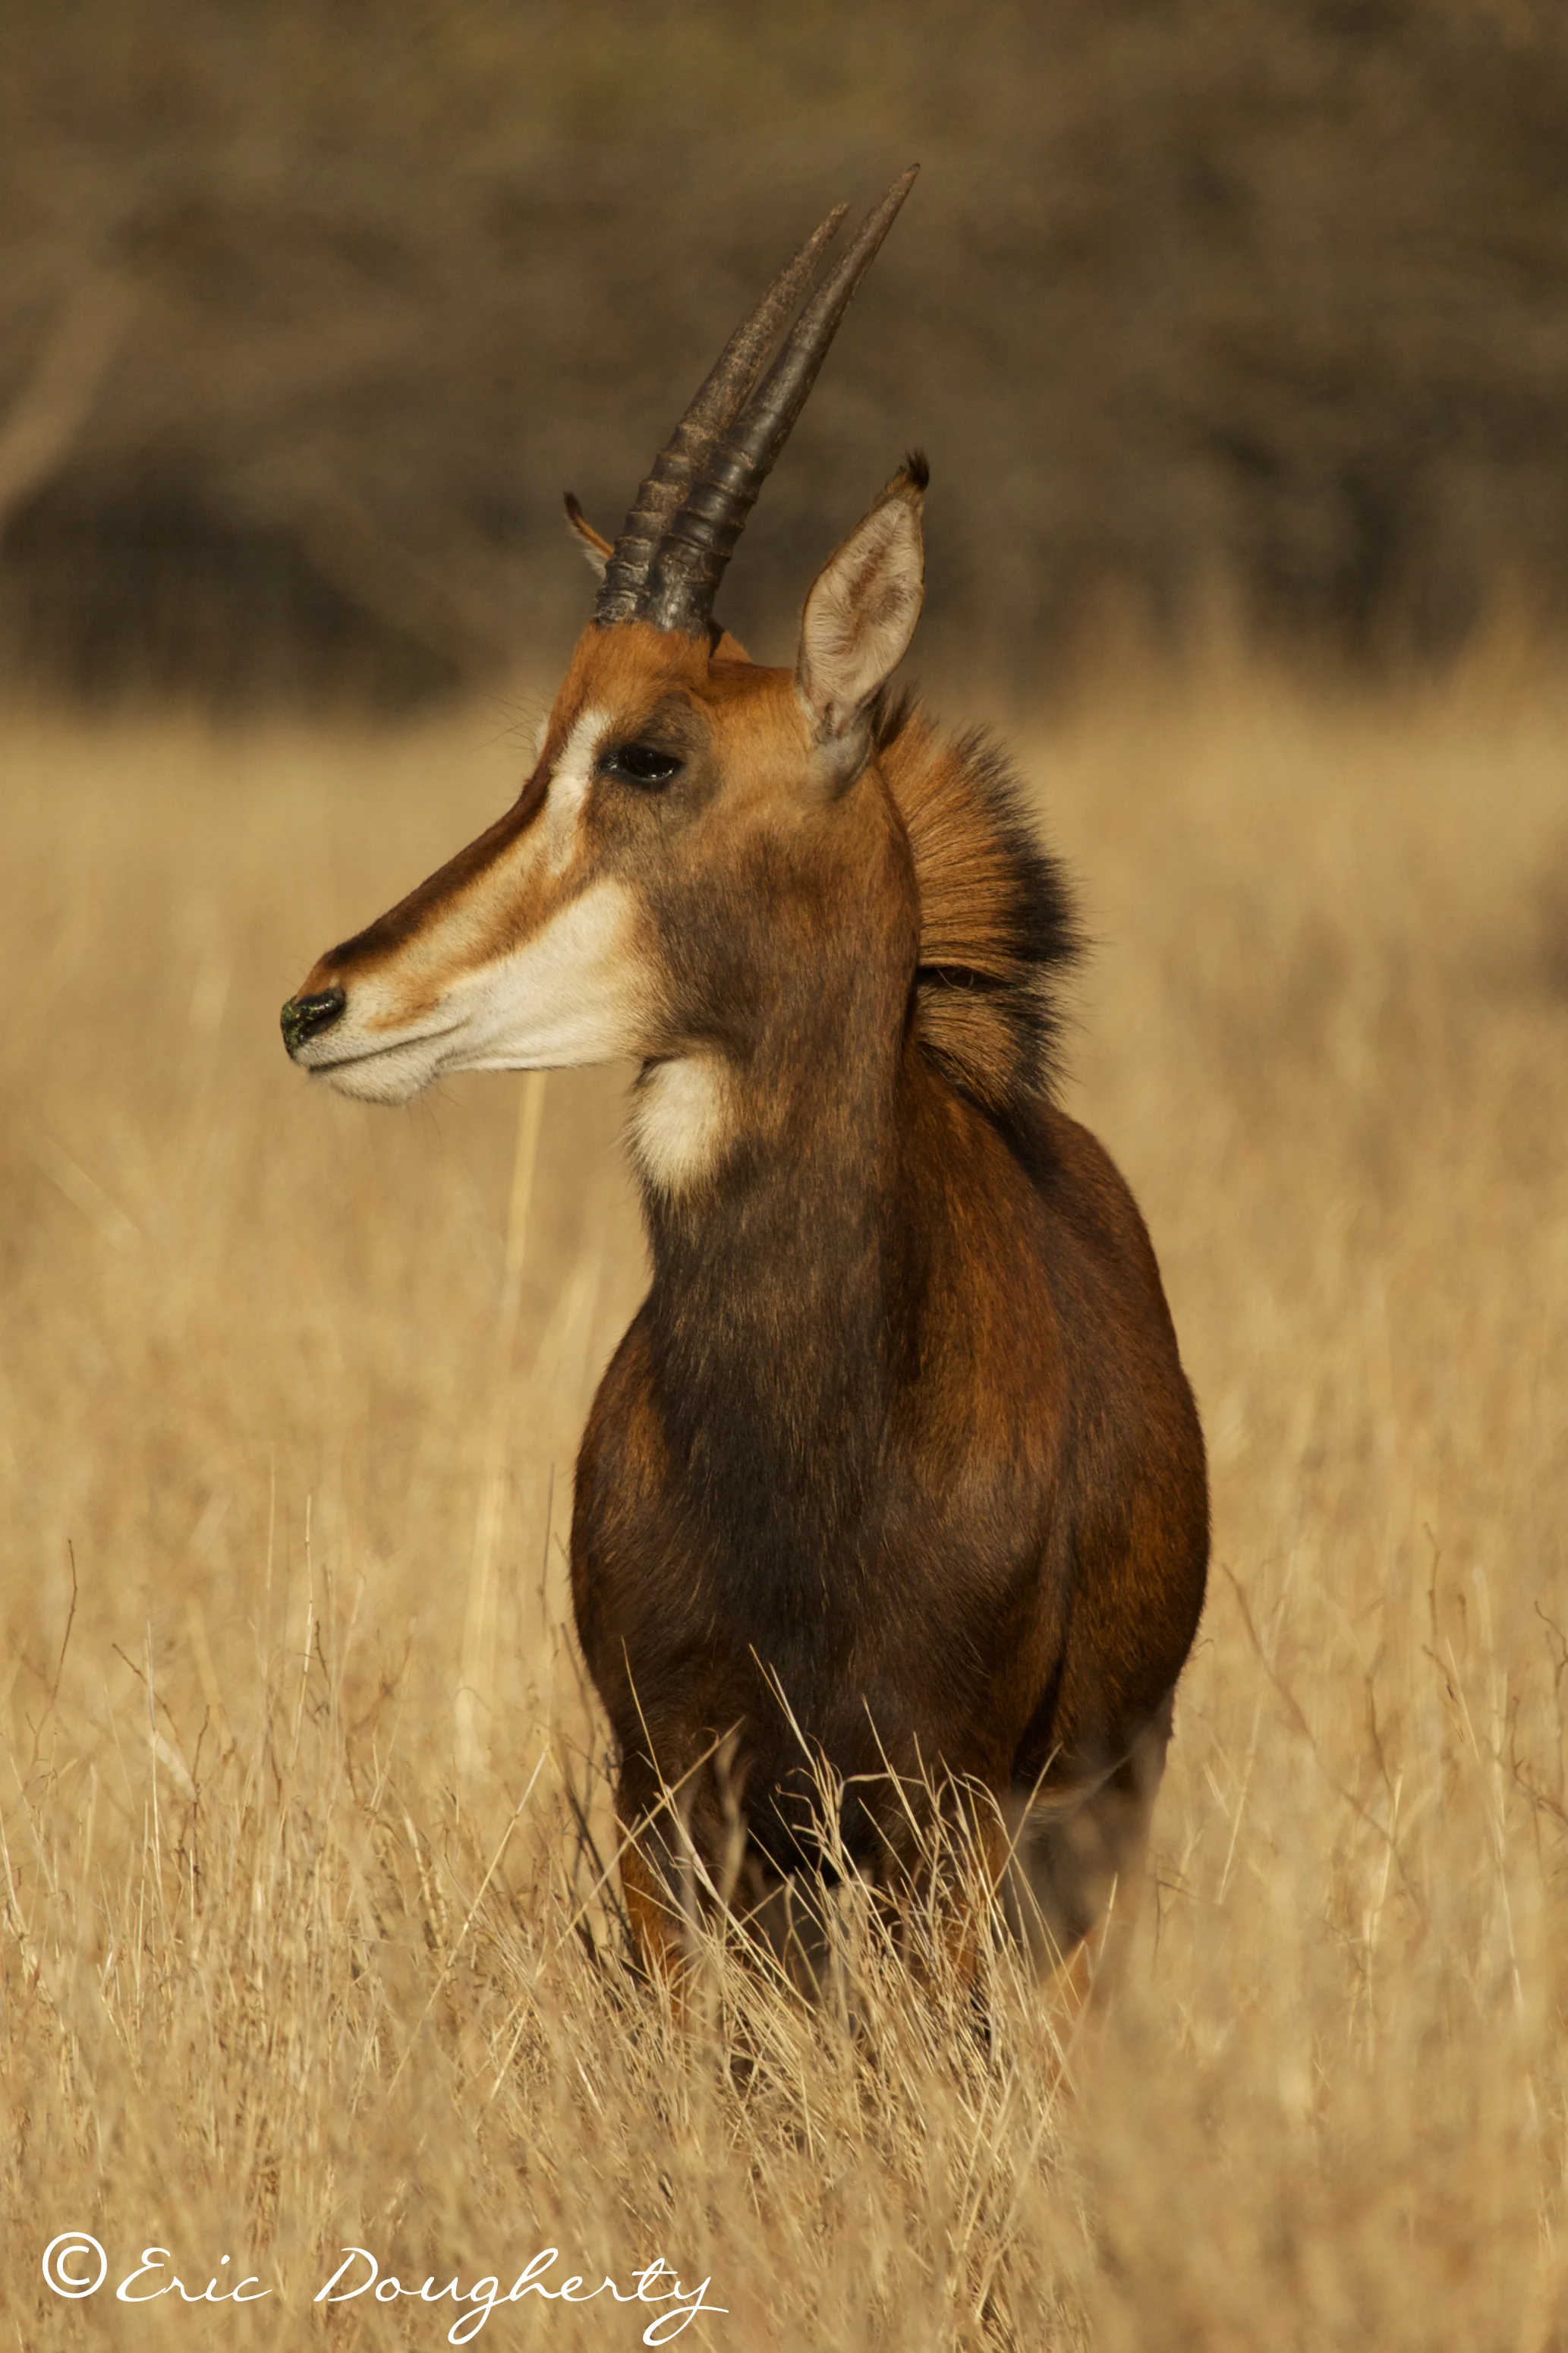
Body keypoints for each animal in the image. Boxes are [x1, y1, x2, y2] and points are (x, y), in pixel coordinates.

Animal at [281, 171, 1209, 2000]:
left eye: (650, 754)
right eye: (537, 753)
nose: (324, 1005)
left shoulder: (945, 1810)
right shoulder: (668, 1797)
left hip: (1089, 1819)